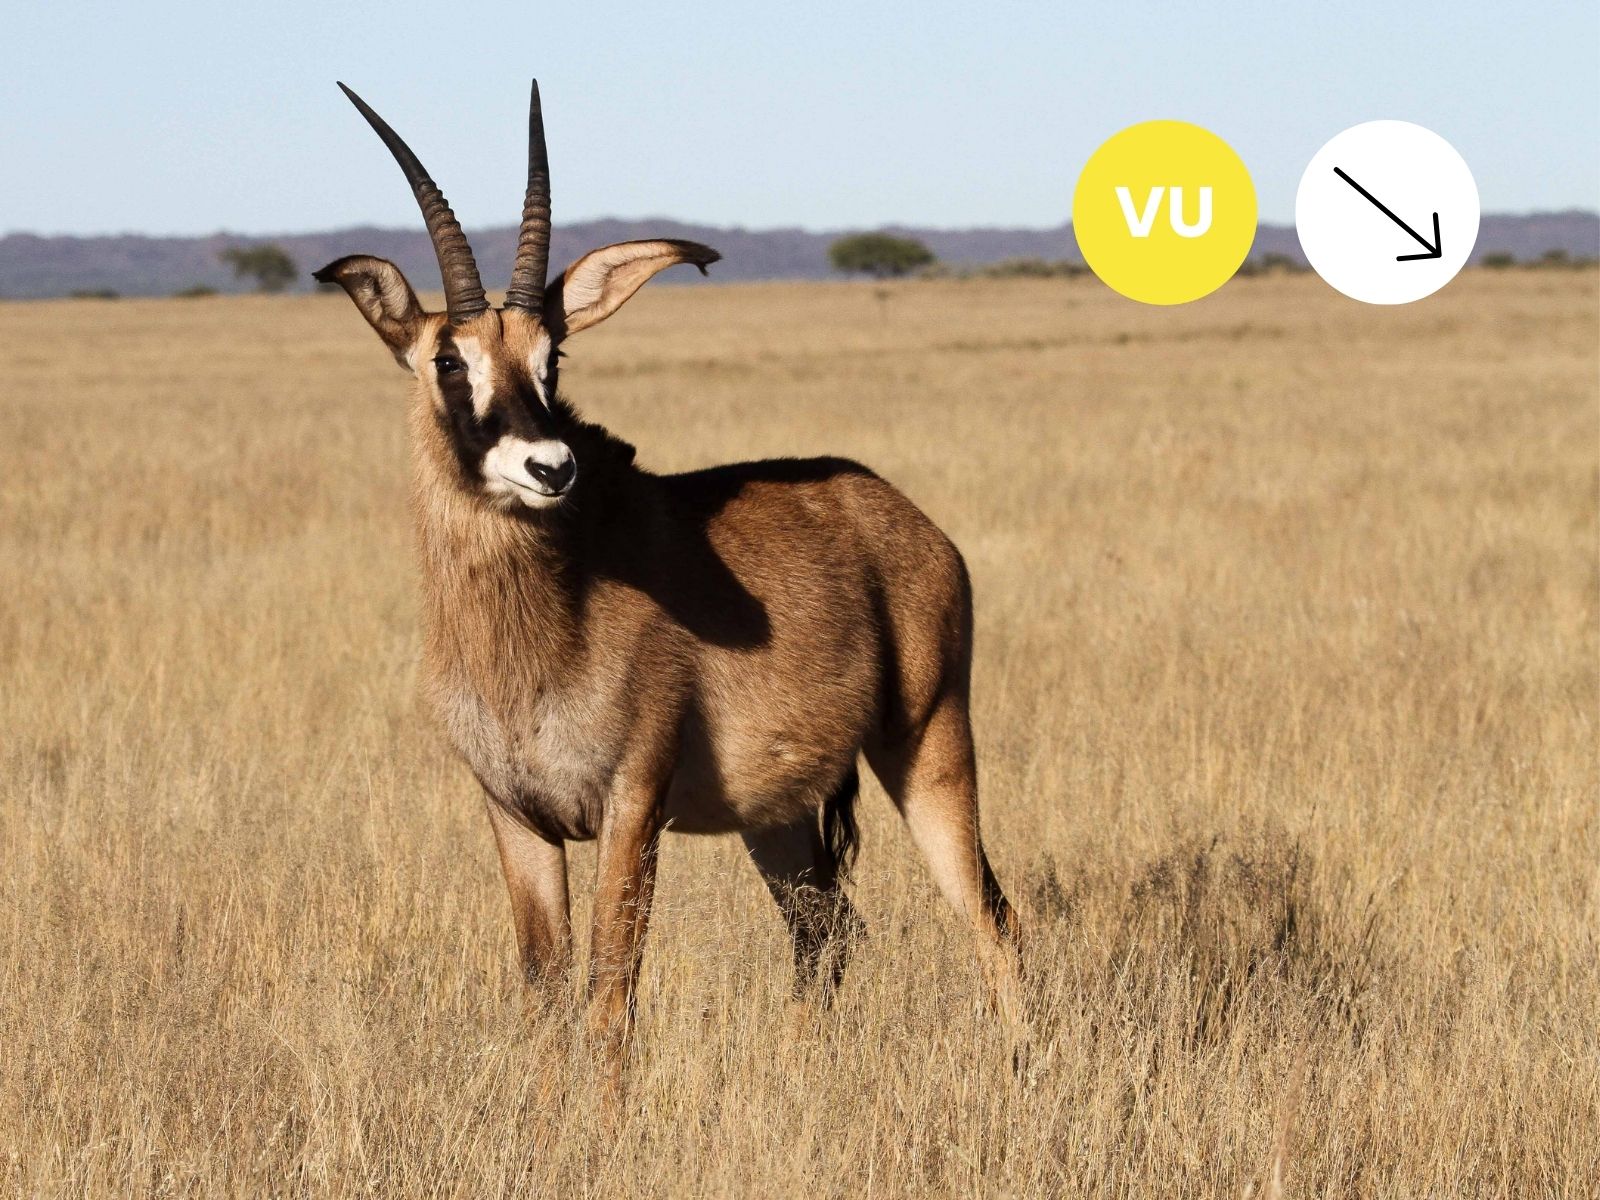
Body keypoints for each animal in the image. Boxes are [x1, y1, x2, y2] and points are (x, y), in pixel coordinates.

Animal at [315, 80, 1022, 1079]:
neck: (545, 622)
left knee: (992, 921)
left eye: (553, 357)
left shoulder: (630, 805)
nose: (550, 467)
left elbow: (610, 1002)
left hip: (926, 745)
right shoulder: (516, 817)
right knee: (827, 933)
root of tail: (906, 518)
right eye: (449, 359)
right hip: (779, 816)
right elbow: (544, 999)